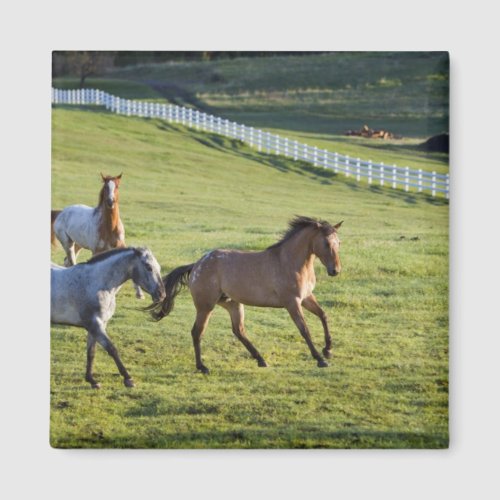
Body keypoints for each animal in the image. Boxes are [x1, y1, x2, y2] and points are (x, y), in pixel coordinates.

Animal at [50, 248, 165, 388]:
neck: (95, 284)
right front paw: (128, 379)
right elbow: (112, 349)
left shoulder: (97, 327)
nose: (162, 294)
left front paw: (91, 380)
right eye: (148, 267)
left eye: (159, 267)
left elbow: (91, 353)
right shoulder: (95, 326)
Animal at [148, 217, 342, 374]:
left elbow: (323, 315)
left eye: (338, 242)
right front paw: (320, 359)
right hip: (205, 306)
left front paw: (328, 350)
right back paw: (202, 367)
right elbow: (304, 330)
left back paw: (261, 360)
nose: (335, 271)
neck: (290, 262)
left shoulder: (306, 298)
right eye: (326, 243)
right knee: (197, 332)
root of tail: (196, 265)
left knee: (238, 330)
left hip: (233, 304)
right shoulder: (292, 302)